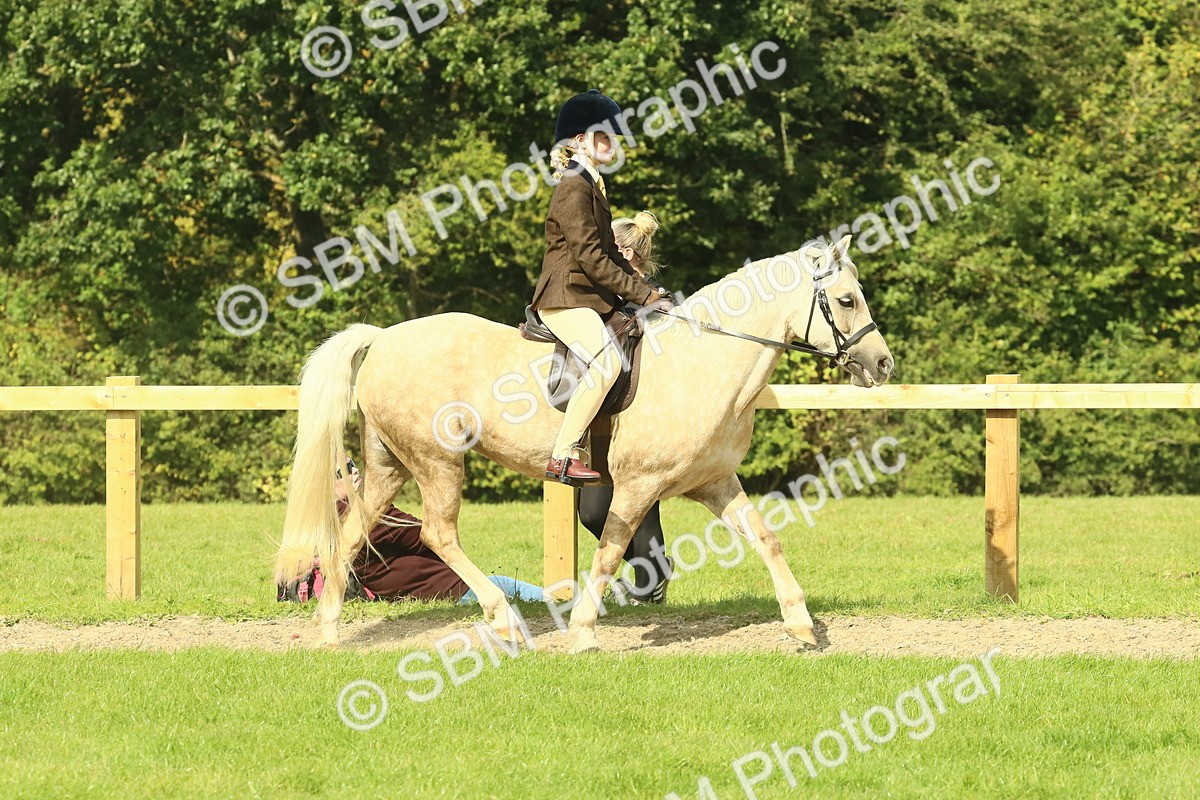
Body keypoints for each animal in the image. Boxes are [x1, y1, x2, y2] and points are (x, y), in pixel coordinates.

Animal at [276, 234, 893, 652]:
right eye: (845, 300)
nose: (883, 364)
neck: (705, 358)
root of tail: (382, 338)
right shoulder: (638, 486)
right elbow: (610, 552)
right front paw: (583, 632)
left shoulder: (715, 482)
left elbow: (766, 539)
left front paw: (801, 624)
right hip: (437, 463)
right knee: (436, 534)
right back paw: (504, 620)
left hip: (388, 467)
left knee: (353, 533)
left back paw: (329, 630)